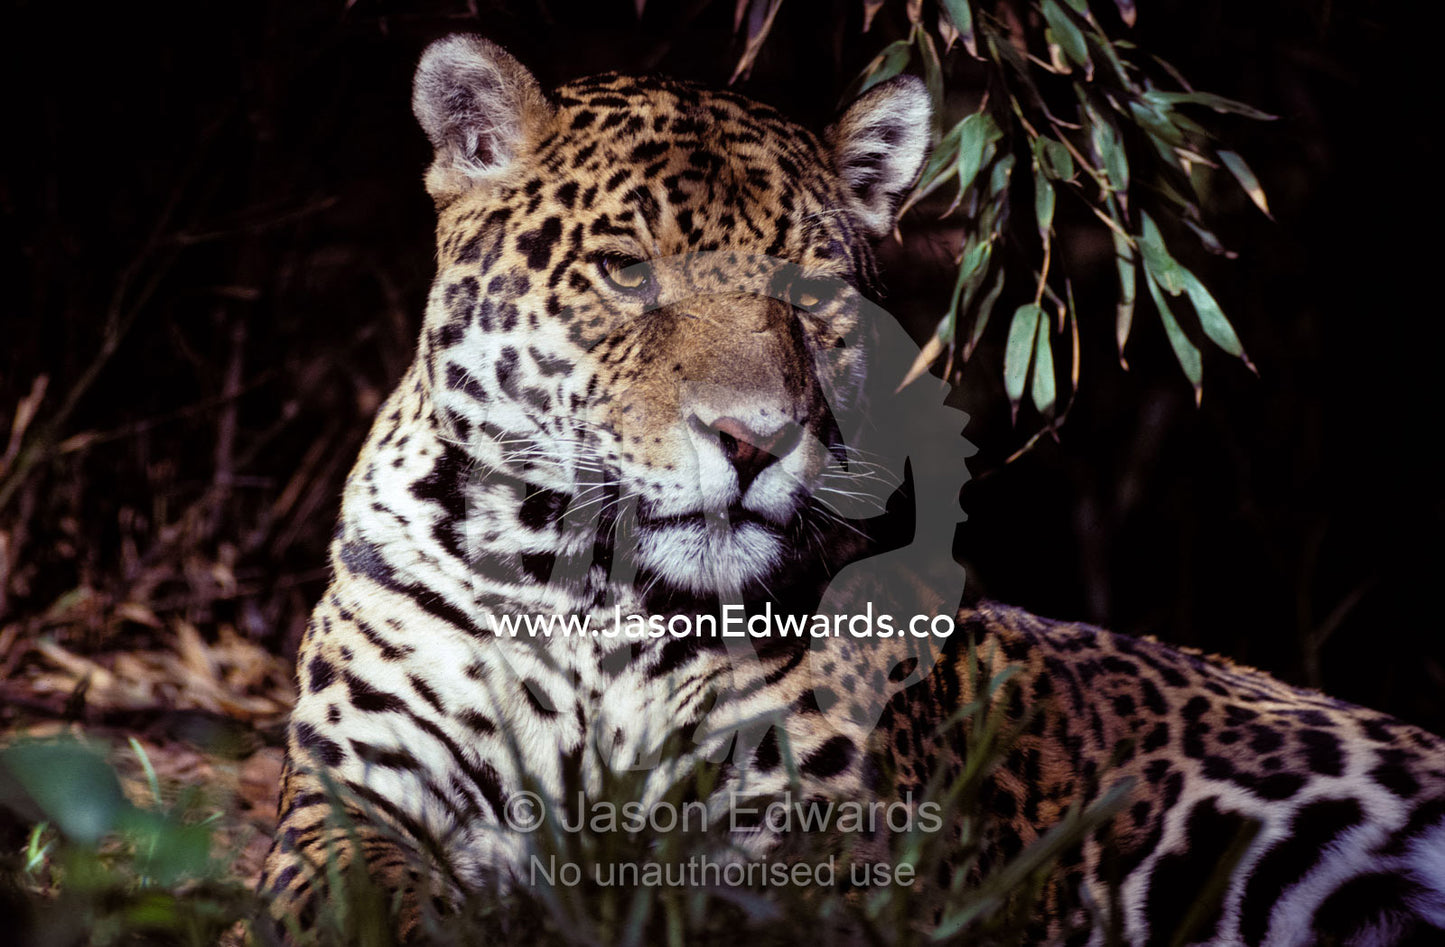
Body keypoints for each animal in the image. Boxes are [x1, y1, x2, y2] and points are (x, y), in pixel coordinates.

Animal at [260, 33, 1445, 946]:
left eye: (812, 291)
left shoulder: (813, 851)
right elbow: (365, 901)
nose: (754, 439)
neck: (590, 589)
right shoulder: (351, 800)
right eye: (627, 271)